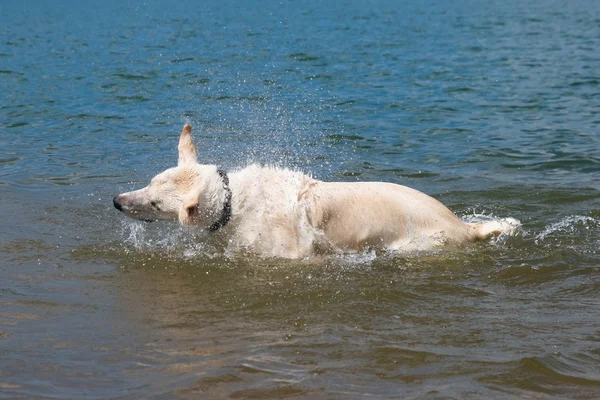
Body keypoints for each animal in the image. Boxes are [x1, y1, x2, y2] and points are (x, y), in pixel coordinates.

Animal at [113, 123, 520, 258]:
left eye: (154, 203)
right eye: (150, 182)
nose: (117, 201)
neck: (234, 203)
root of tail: (463, 226)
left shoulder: (287, 254)